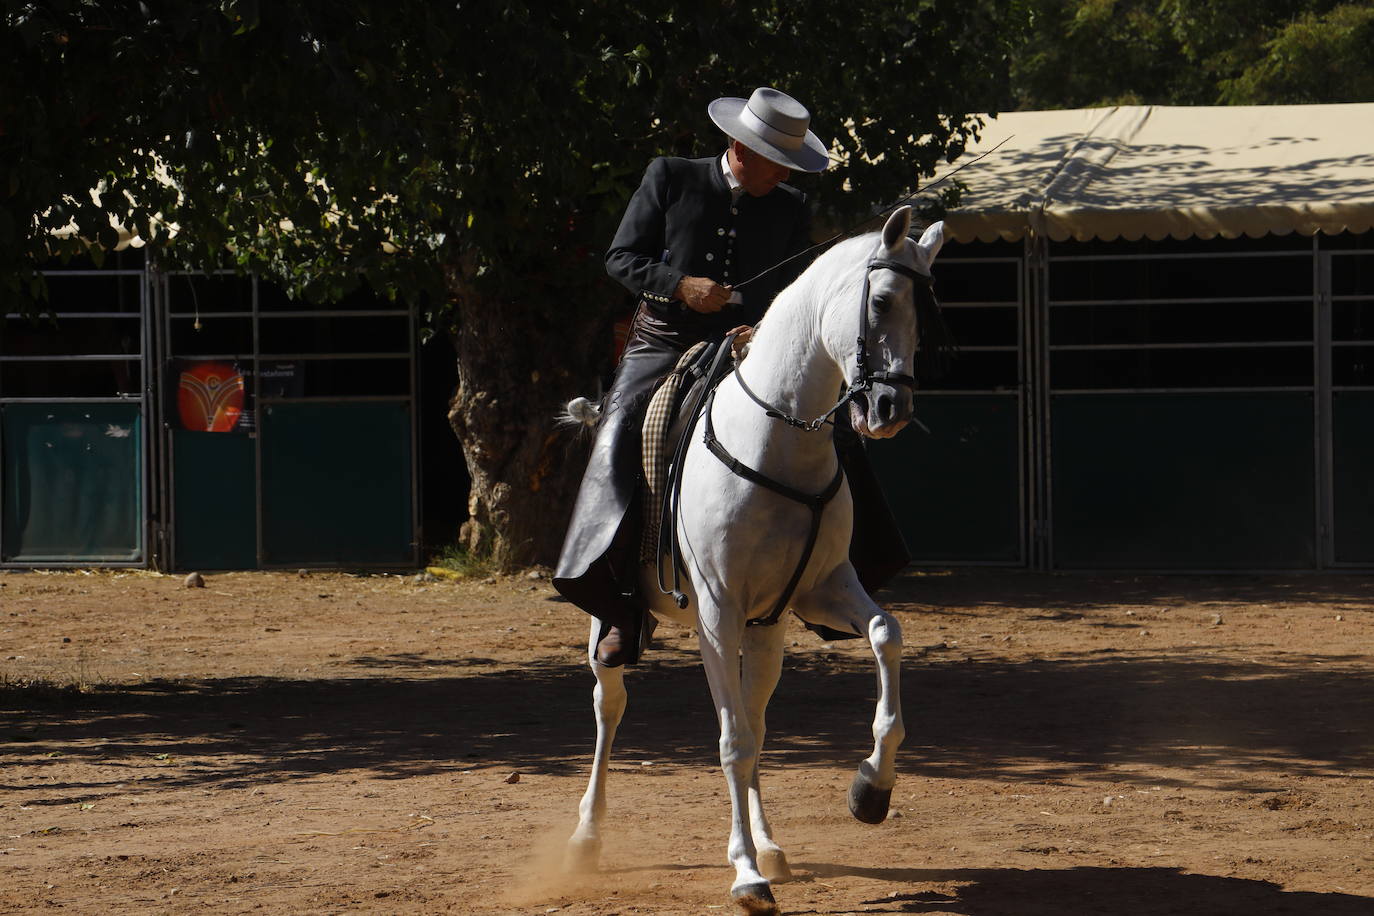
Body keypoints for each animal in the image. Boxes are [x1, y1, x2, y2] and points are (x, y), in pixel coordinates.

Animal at [563, 207, 939, 916]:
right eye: (880, 302)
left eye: (925, 310)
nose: (891, 411)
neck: (779, 439)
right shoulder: (718, 609)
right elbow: (732, 740)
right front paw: (743, 874)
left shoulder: (819, 590)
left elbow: (885, 634)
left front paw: (870, 789)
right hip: (613, 623)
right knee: (609, 706)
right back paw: (585, 838)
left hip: (769, 630)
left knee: (759, 715)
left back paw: (770, 844)